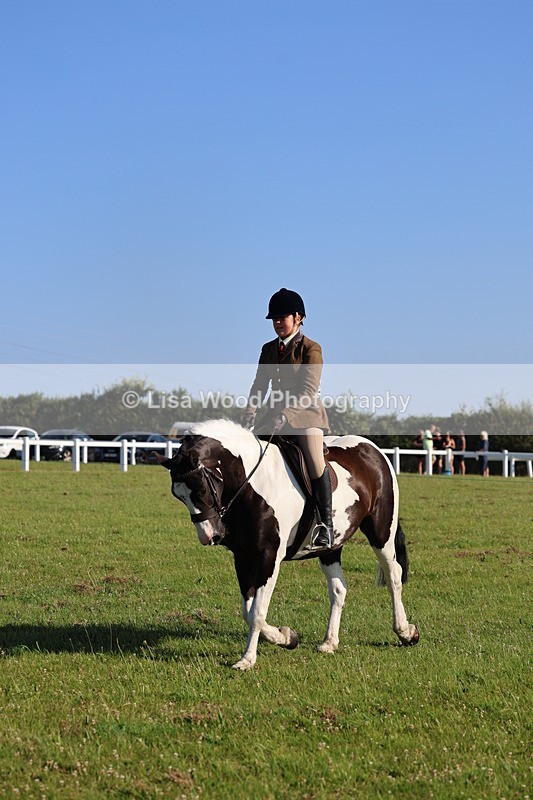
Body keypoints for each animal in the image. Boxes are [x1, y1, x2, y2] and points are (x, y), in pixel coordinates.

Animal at [157, 419, 419, 670]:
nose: (210, 536)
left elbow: (257, 612)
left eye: (201, 489)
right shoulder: (243, 556)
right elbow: (247, 610)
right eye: (178, 496)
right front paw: (287, 637)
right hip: (331, 547)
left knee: (393, 576)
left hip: (381, 532)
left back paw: (406, 632)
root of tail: (374, 450)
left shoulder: (268, 556)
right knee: (338, 589)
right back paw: (329, 642)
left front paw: (247, 660)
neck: (253, 485)